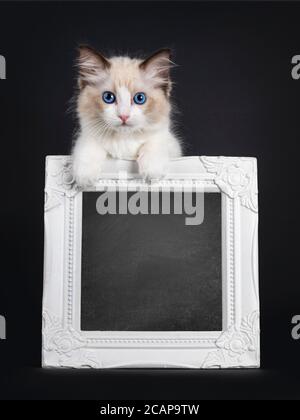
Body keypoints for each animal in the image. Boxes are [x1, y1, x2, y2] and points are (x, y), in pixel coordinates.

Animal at [71, 44, 182, 187]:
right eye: (108, 97)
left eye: (140, 98)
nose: (124, 116)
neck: (124, 140)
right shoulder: (88, 136)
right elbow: (87, 148)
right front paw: (85, 179)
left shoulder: (171, 145)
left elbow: (154, 143)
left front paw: (152, 172)